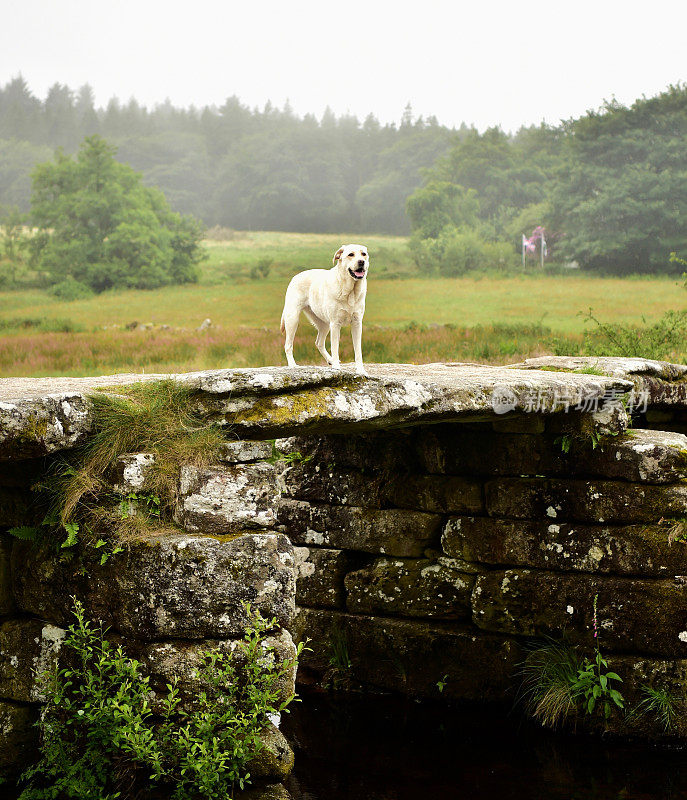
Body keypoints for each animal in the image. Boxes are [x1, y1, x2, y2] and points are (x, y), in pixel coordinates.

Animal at [280, 242, 370, 376]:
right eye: (351, 254)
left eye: (363, 254)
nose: (361, 262)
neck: (350, 291)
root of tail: (295, 276)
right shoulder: (335, 324)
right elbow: (335, 347)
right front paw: (337, 368)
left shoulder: (357, 324)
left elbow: (358, 351)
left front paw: (361, 370)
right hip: (293, 319)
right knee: (288, 345)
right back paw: (292, 365)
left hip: (324, 324)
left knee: (319, 342)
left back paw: (330, 360)